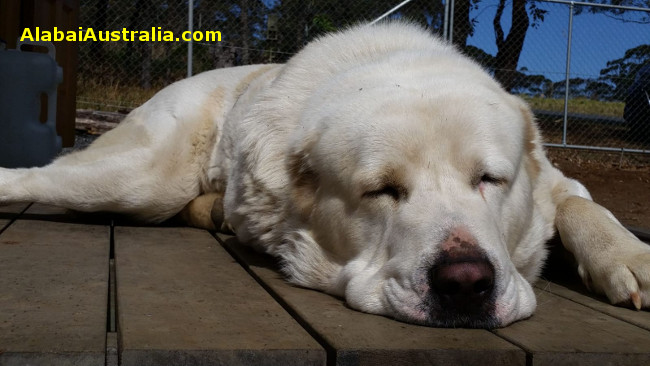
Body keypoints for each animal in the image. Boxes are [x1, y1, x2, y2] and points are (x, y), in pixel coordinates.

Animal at [1, 22, 648, 328]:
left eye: (490, 179)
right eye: (382, 190)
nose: (465, 283)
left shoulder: (552, 183)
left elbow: (583, 203)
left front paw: (630, 257)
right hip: (142, 179)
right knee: (42, 177)